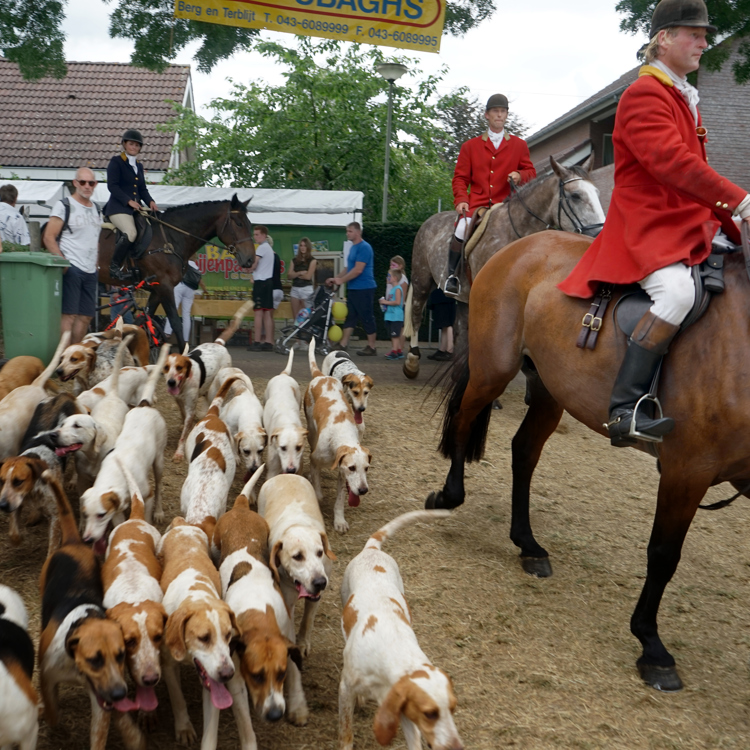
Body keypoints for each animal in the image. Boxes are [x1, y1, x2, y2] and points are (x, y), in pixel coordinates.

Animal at [97, 195, 256, 352]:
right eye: (239, 224)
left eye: (249, 224)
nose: (250, 260)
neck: (170, 238)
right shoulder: (164, 286)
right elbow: (175, 323)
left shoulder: (156, 290)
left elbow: (143, 318)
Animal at [402, 159, 608, 382]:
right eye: (575, 195)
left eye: (597, 193)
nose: (599, 235)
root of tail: (429, 221)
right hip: (422, 280)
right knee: (416, 314)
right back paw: (412, 361)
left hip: (464, 297)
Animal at [428, 232, 750, 696]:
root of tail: (520, 245)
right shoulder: (688, 468)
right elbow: (663, 554)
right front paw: (652, 647)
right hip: (494, 369)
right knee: (464, 422)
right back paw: (448, 496)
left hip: (549, 388)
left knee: (524, 451)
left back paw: (528, 544)